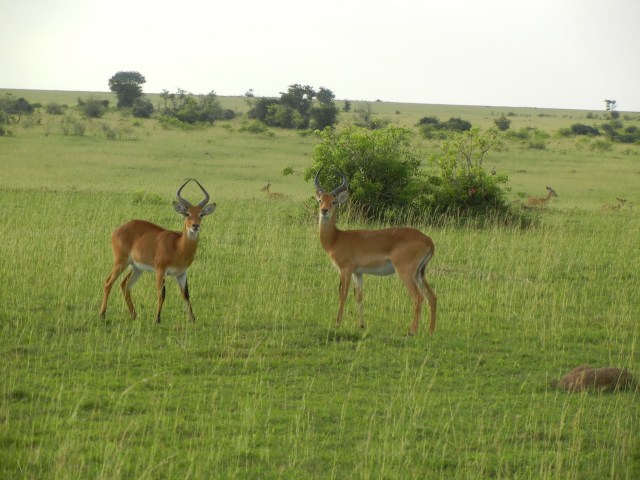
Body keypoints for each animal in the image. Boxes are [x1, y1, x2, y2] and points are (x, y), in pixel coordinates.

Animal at [99, 179, 216, 323]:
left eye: (201, 214)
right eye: (187, 214)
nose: (195, 226)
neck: (178, 246)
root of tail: (117, 230)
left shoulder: (181, 273)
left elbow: (186, 295)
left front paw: (192, 319)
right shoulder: (161, 270)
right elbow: (162, 293)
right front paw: (157, 319)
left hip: (137, 268)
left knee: (125, 285)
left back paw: (134, 315)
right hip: (121, 262)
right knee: (108, 282)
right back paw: (102, 314)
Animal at [314, 169, 437, 335]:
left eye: (333, 202)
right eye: (320, 200)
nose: (324, 211)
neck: (336, 238)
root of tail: (429, 240)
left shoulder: (345, 269)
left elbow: (342, 294)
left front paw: (337, 323)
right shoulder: (358, 272)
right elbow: (359, 296)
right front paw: (361, 325)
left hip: (406, 272)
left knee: (418, 297)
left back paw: (412, 331)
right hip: (420, 273)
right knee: (432, 297)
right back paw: (431, 332)